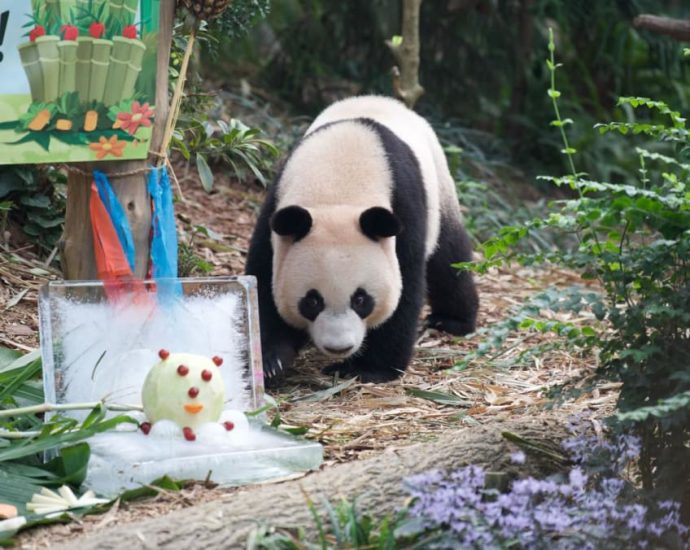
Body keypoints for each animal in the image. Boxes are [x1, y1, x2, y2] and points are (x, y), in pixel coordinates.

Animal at [245, 96, 476, 384]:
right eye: (312, 301)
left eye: (361, 300)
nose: (339, 347)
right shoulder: (277, 209)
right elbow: (264, 278)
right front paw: (270, 361)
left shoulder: (404, 209)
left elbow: (406, 286)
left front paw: (367, 368)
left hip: (440, 187)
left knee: (449, 259)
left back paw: (452, 321)